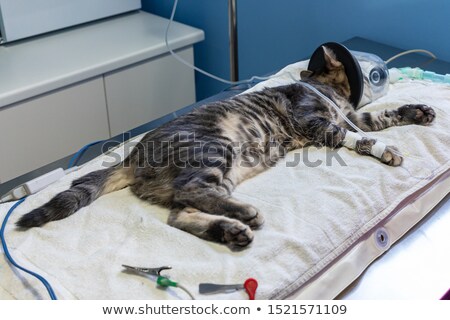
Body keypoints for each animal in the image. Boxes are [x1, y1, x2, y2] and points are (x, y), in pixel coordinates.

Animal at [17, 46, 436, 249]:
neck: (332, 94)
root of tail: (133, 156)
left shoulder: (350, 115)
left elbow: (382, 116)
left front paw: (417, 111)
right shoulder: (315, 121)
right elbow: (359, 136)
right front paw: (384, 148)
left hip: (218, 172)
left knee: (179, 215)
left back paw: (231, 230)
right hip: (214, 151)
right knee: (191, 193)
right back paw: (244, 214)